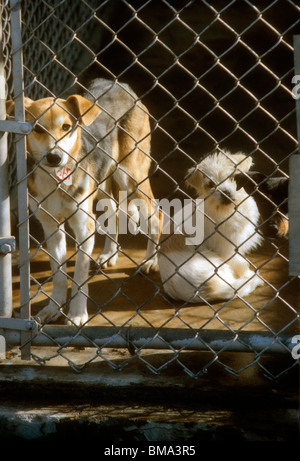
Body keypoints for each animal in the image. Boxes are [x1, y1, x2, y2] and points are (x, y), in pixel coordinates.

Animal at [7, 78, 162, 324]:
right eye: (37, 129)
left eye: (66, 127)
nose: (54, 157)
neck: (56, 179)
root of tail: (118, 84)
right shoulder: (51, 226)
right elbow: (58, 274)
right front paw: (53, 307)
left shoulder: (83, 226)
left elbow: (80, 274)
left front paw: (77, 314)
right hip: (103, 182)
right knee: (114, 209)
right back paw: (110, 253)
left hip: (130, 175)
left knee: (156, 212)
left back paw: (150, 260)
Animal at [158, 150, 264, 302]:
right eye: (210, 185)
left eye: (233, 177)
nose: (225, 192)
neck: (226, 210)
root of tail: (204, 291)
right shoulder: (229, 250)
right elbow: (242, 264)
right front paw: (249, 275)